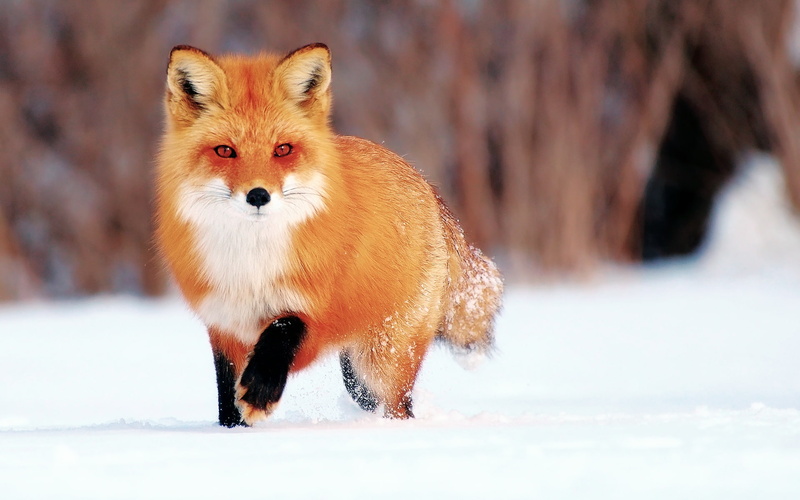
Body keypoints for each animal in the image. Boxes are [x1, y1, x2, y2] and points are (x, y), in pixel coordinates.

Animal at [154, 43, 503, 427]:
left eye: (283, 149)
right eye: (225, 151)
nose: (258, 195)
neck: (252, 265)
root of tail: (426, 184)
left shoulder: (316, 310)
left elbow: (282, 329)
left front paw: (260, 392)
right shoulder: (224, 323)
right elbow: (226, 397)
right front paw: (232, 430)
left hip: (382, 361)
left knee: (400, 406)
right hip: (358, 376)